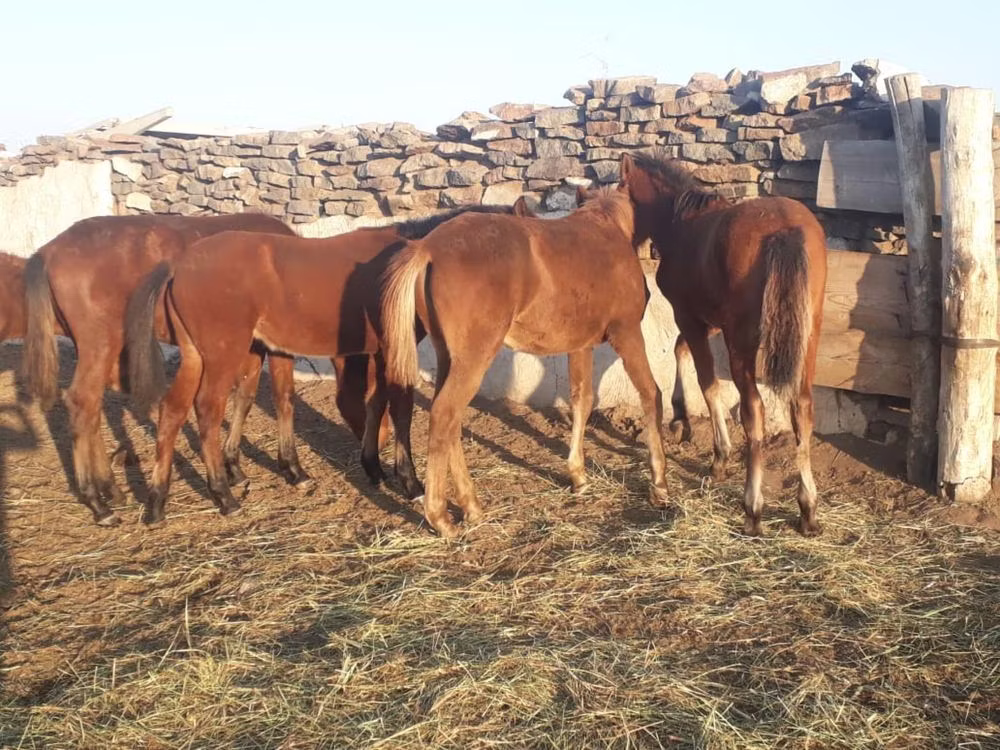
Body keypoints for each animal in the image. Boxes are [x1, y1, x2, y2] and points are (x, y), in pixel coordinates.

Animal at [20, 213, 379, 527]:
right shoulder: (275, 348)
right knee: (84, 403)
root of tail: (48, 251)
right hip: (101, 345)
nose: (379, 446)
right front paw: (291, 468)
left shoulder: (253, 347)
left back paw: (114, 490)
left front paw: (233, 466)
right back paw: (98, 502)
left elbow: (245, 396)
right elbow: (283, 398)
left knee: (93, 410)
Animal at [124, 203, 532, 526]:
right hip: (223, 355)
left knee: (172, 411)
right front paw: (410, 482)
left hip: (196, 356)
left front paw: (374, 467)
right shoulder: (391, 349)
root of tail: (178, 266)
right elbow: (399, 407)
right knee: (207, 411)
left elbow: (375, 403)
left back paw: (158, 502)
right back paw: (224, 495)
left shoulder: (376, 352)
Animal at [380, 185, 670, 539]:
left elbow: (582, 400)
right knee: (444, 415)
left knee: (451, 422)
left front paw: (578, 476)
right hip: (473, 360)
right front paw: (660, 485)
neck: (607, 231)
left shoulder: (580, 346)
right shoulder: (626, 333)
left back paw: (471, 506)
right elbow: (651, 395)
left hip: (449, 357)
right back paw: (441, 517)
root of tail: (428, 250)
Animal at [617, 150, 828, 536]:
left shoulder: (690, 317)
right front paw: (681, 416)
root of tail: (784, 229)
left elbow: (707, 382)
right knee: (802, 408)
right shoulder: (710, 322)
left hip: (742, 341)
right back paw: (807, 510)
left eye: (620, 187)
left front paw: (718, 457)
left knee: (754, 410)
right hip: (808, 336)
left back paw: (753, 509)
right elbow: (681, 352)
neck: (681, 223)